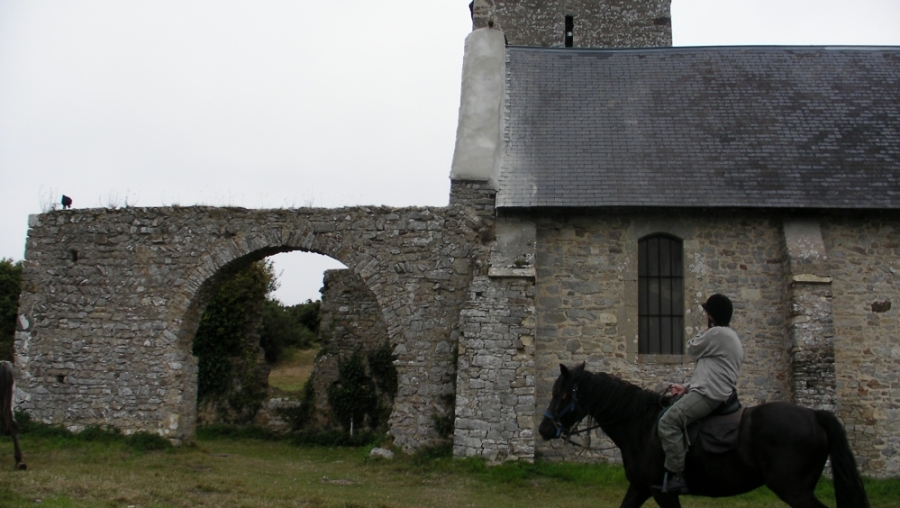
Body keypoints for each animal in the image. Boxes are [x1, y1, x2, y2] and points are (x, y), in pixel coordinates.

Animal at [536, 366, 868, 508]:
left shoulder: (662, 491)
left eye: (560, 393)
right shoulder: (640, 487)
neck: (642, 427)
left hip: (793, 490)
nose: (543, 429)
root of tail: (815, 415)